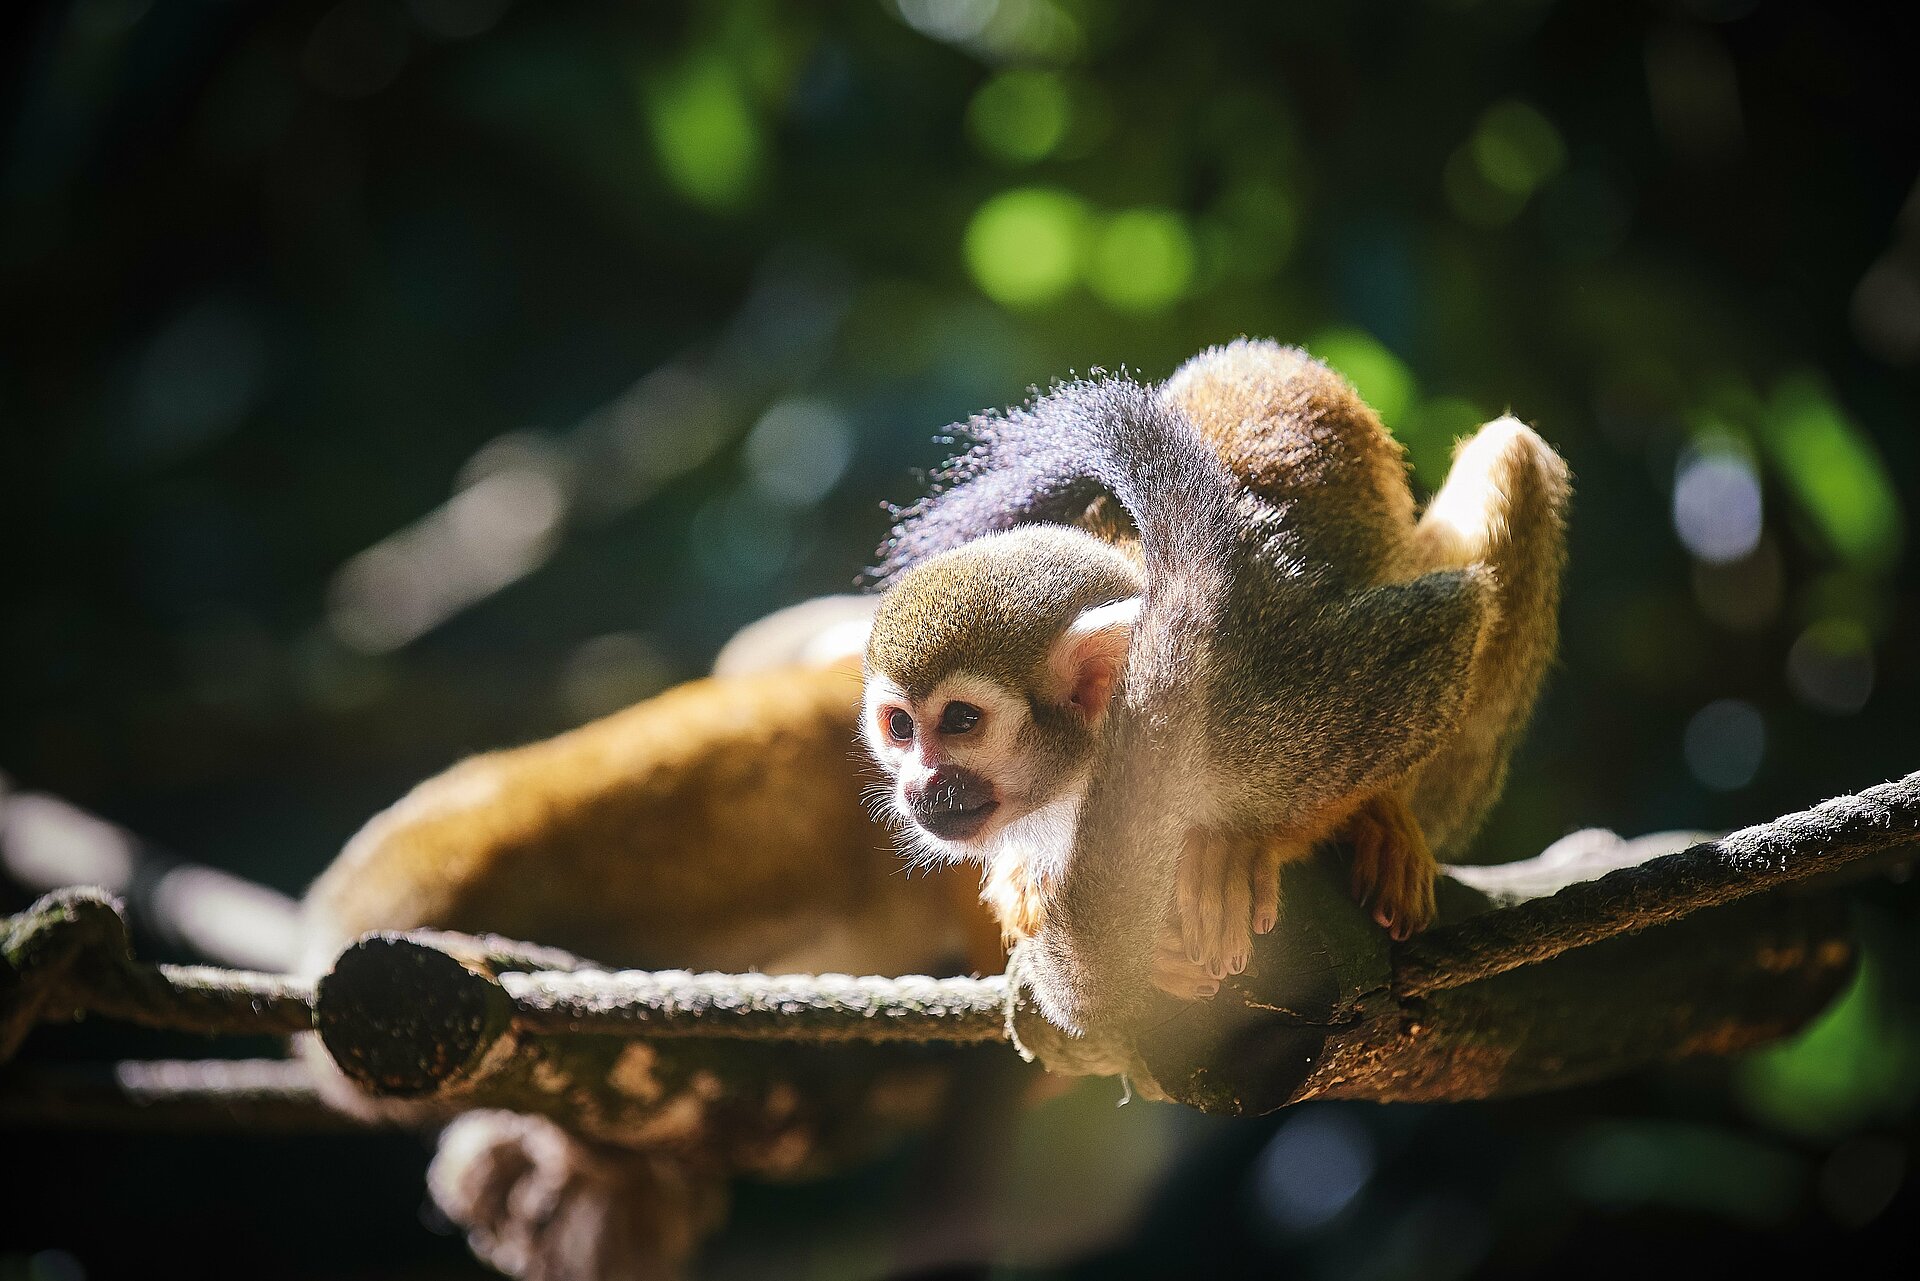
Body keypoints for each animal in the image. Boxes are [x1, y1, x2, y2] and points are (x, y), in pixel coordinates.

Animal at [864, 338, 1566, 1029]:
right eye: (900, 727)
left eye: (961, 721)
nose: (920, 785)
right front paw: (1030, 888)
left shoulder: (1247, 719)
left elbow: (1446, 620)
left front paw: (1242, 847)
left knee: (1512, 454)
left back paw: (1385, 818)